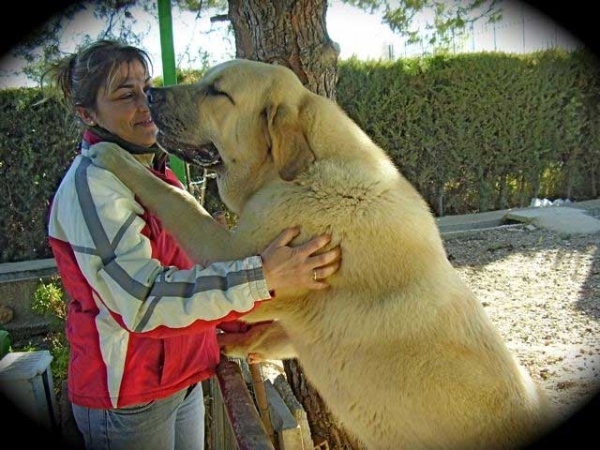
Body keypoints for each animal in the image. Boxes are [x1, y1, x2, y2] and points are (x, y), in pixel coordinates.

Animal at [89, 59, 556, 450]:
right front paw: (233, 344)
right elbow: (272, 333)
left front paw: (111, 154)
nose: (150, 93)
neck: (302, 167)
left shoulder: (226, 249)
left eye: (218, 92)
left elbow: (176, 197)